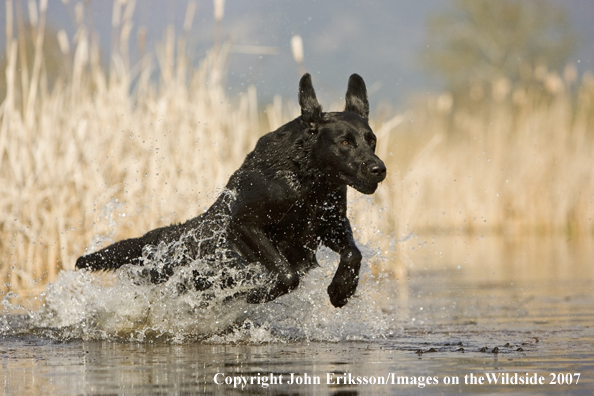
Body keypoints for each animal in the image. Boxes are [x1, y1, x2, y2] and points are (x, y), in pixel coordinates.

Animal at [75, 75, 384, 310]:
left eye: (372, 141)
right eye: (345, 142)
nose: (379, 169)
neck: (307, 182)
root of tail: (154, 239)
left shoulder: (331, 224)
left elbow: (353, 254)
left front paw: (342, 289)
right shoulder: (245, 223)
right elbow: (286, 273)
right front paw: (257, 294)